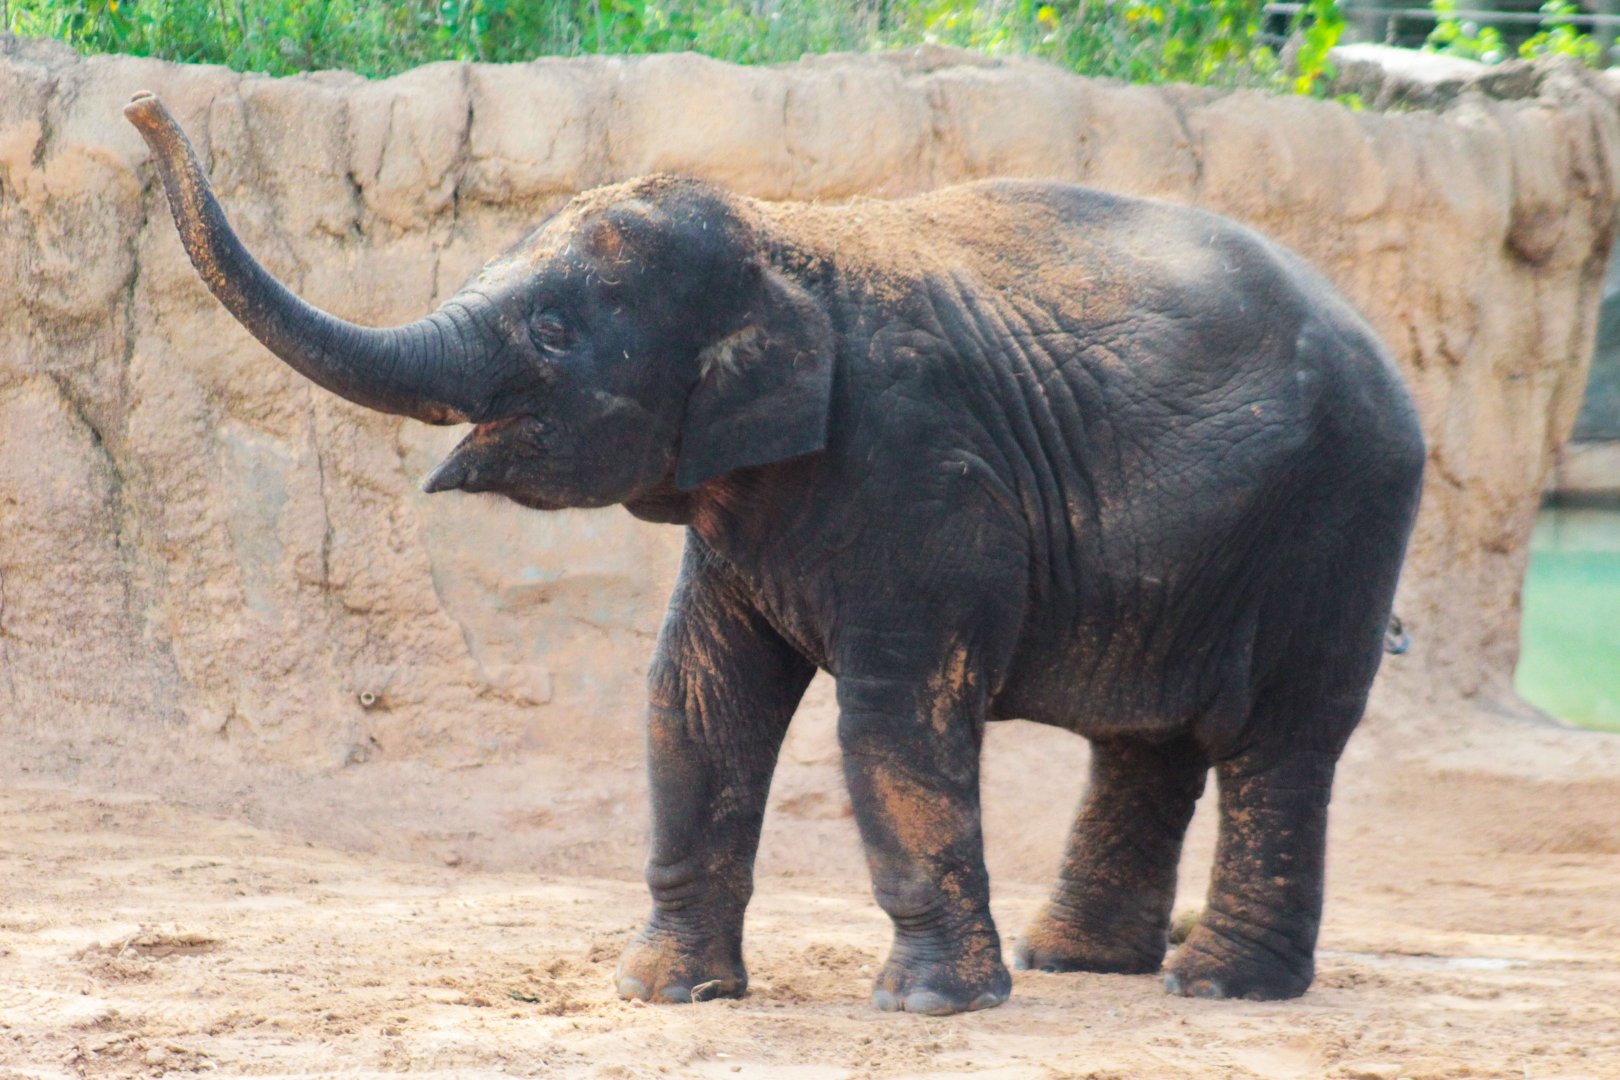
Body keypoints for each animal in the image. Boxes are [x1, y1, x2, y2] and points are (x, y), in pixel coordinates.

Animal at [125, 90, 1424, 1015]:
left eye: (553, 329)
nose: (141, 109)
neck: (788, 241)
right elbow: (695, 700)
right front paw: (665, 997)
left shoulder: (924, 480)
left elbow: (893, 718)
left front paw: (931, 1010)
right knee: (1146, 746)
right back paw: (1079, 966)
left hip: (1340, 528)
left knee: (1279, 743)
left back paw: (1219, 986)